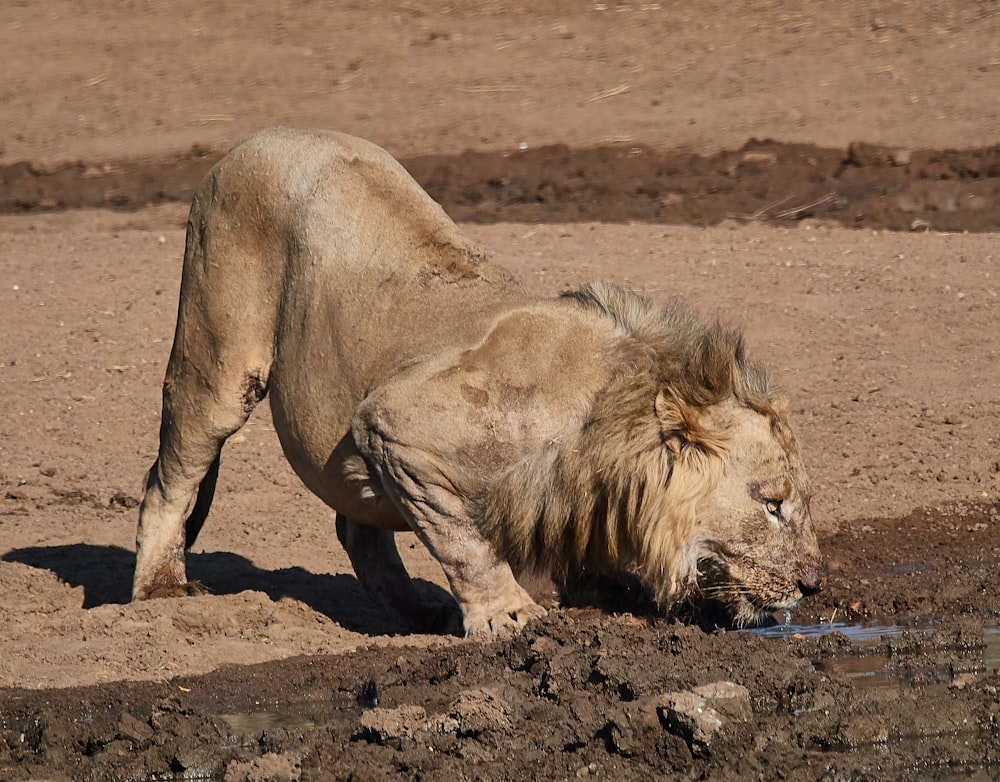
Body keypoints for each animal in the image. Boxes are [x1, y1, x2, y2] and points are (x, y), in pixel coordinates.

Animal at [133, 129, 824, 640]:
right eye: (772, 504)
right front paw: (509, 616)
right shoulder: (394, 426)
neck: (602, 421)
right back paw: (161, 591)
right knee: (169, 480)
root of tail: (258, 138)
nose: (814, 586)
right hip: (216, 363)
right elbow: (464, 540)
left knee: (358, 530)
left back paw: (418, 614)